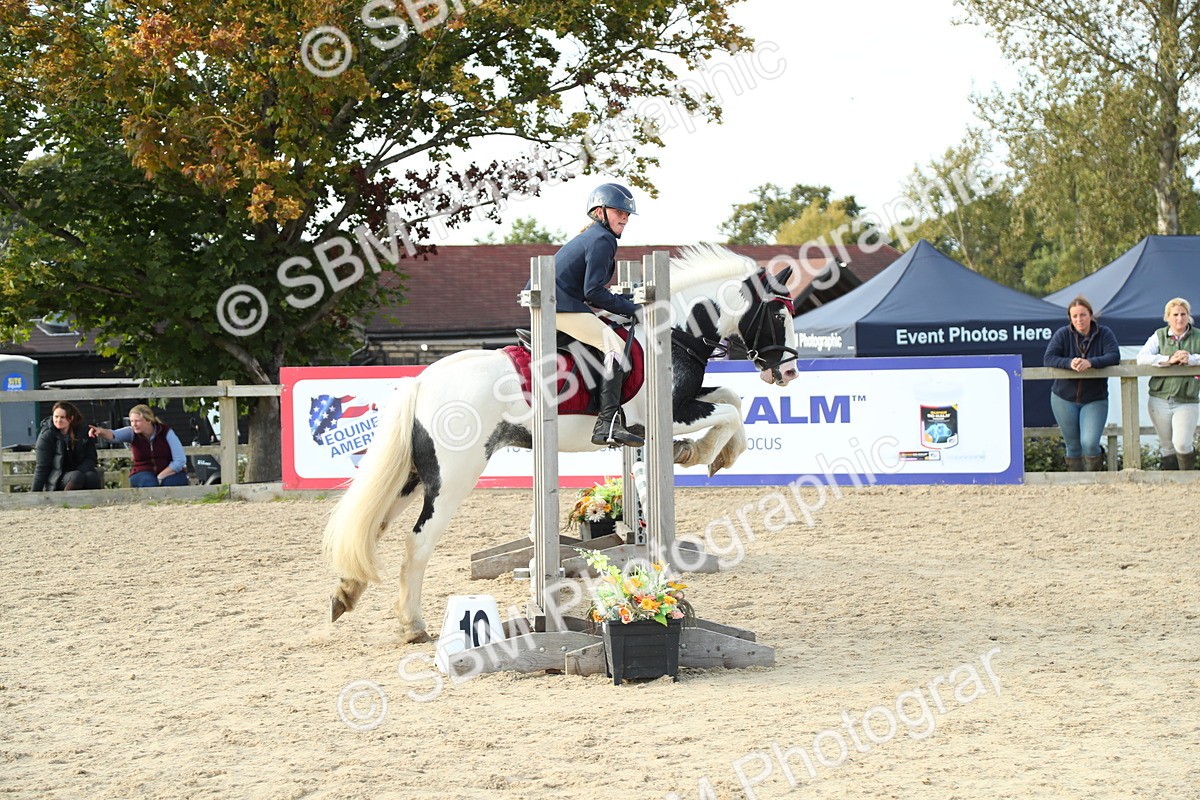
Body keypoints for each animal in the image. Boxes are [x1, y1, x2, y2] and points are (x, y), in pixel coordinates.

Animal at [322, 244, 800, 642]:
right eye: (779, 317)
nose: (789, 372)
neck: (673, 333)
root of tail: (423, 380)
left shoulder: (686, 402)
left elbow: (732, 399)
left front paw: (714, 453)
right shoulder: (667, 413)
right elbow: (728, 411)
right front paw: (698, 452)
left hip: (415, 475)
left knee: (376, 526)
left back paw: (346, 593)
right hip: (453, 477)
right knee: (418, 542)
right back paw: (413, 625)